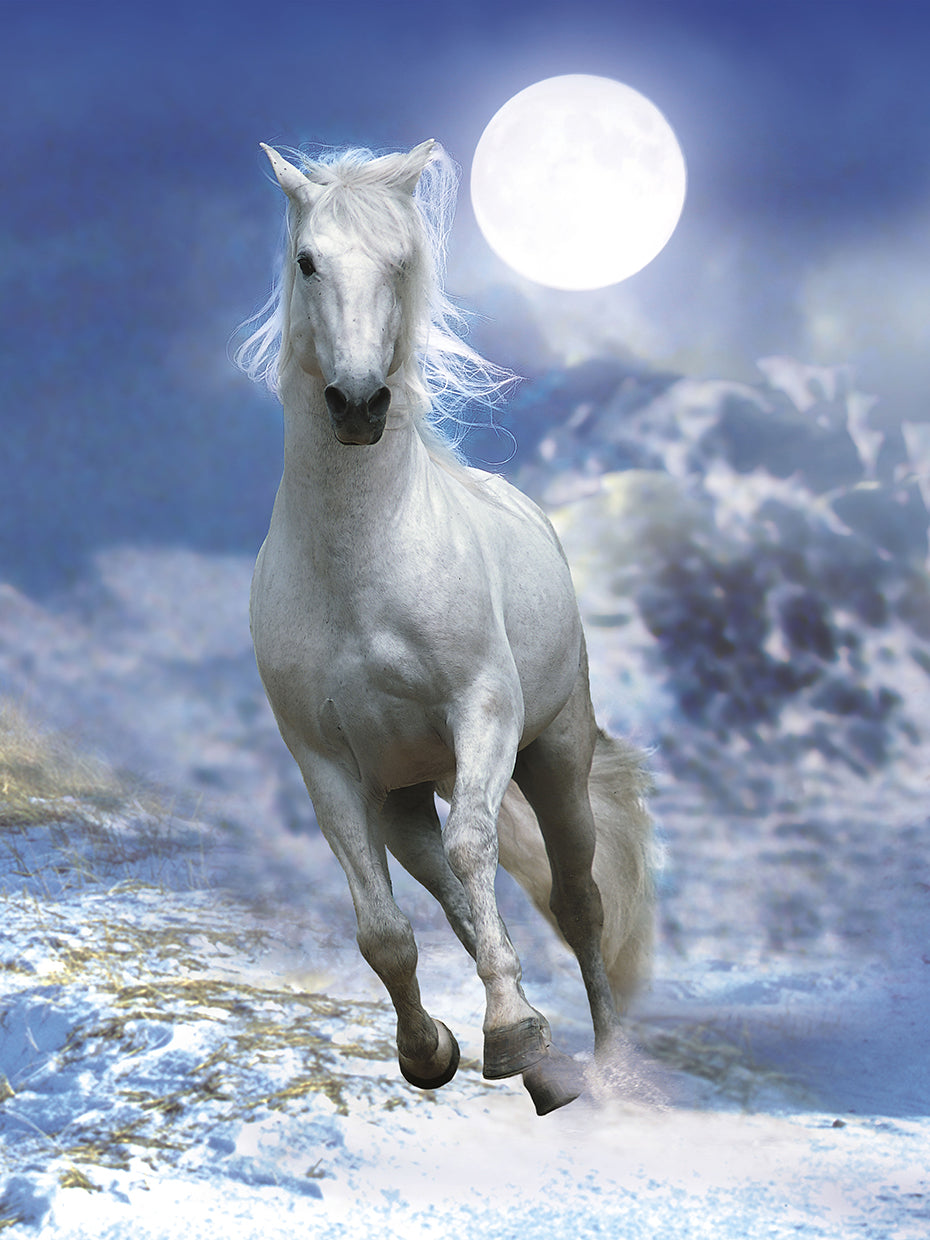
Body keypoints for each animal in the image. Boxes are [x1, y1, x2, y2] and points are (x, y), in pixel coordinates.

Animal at [236, 138, 655, 1114]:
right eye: (308, 261)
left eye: (401, 264)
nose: (358, 404)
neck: (360, 566)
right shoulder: (326, 764)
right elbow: (384, 931)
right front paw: (433, 1049)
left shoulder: (484, 714)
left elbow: (476, 848)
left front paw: (507, 1033)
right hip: (399, 796)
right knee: (453, 895)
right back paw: (544, 1067)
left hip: (553, 754)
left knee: (576, 898)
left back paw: (604, 1064)